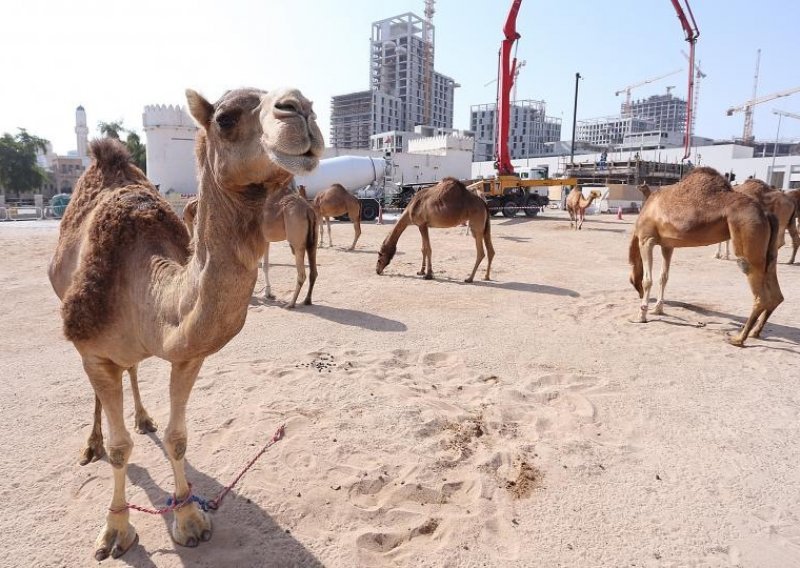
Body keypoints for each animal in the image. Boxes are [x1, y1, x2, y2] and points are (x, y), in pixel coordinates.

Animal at [184, 189, 318, 308]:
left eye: (187, 219)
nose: (190, 244)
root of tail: (308, 209)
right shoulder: (265, 241)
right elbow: (264, 266)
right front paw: (268, 293)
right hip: (312, 238)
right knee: (313, 270)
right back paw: (307, 300)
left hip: (296, 234)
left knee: (301, 272)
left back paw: (291, 304)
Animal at [628, 166, 784, 346]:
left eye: (631, 281)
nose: (638, 295)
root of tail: (766, 213)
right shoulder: (668, 245)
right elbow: (664, 277)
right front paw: (657, 309)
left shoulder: (646, 239)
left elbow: (648, 280)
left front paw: (641, 316)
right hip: (769, 251)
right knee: (776, 294)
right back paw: (755, 332)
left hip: (748, 235)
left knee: (759, 292)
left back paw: (738, 338)